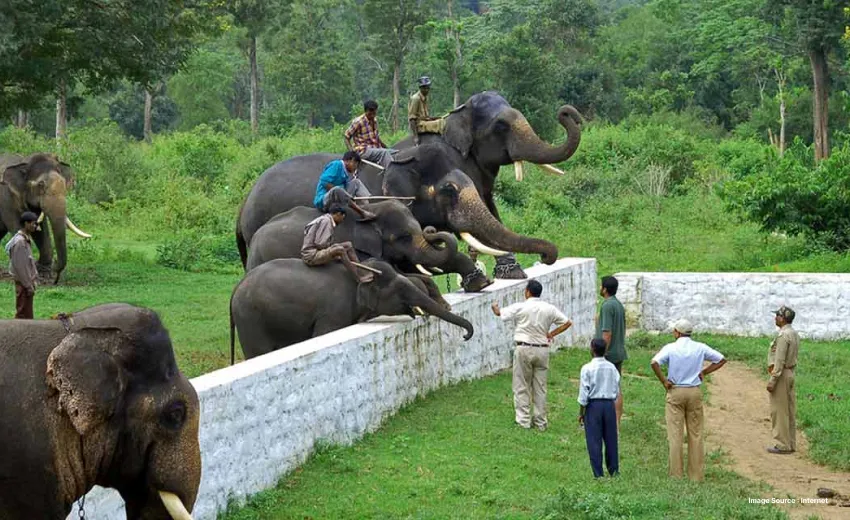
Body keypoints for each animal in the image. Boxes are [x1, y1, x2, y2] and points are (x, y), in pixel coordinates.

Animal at [0, 153, 92, 284]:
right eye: (41, 185)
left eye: (64, 184)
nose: (56, 277)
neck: (25, 161)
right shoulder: (5, 198)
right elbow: (17, 226)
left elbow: (40, 229)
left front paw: (44, 274)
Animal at [230, 258, 474, 360]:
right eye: (401, 290)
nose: (464, 336)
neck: (361, 272)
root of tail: (235, 290)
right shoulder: (333, 312)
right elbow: (322, 334)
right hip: (251, 319)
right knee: (258, 352)